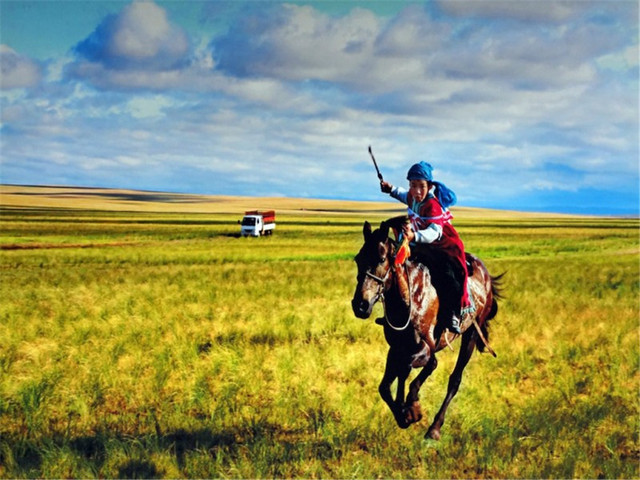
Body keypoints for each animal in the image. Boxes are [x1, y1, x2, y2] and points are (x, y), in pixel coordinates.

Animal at [352, 219, 502, 440]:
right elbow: (385, 387)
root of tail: (486, 276)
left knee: (455, 380)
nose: (360, 305)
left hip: (471, 335)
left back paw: (434, 429)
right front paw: (403, 414)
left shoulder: (424, 346)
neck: (408, 298)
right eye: (357, 259)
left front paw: (411, 409)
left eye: (381, 259)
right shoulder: (396, 348)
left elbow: (413, 368)